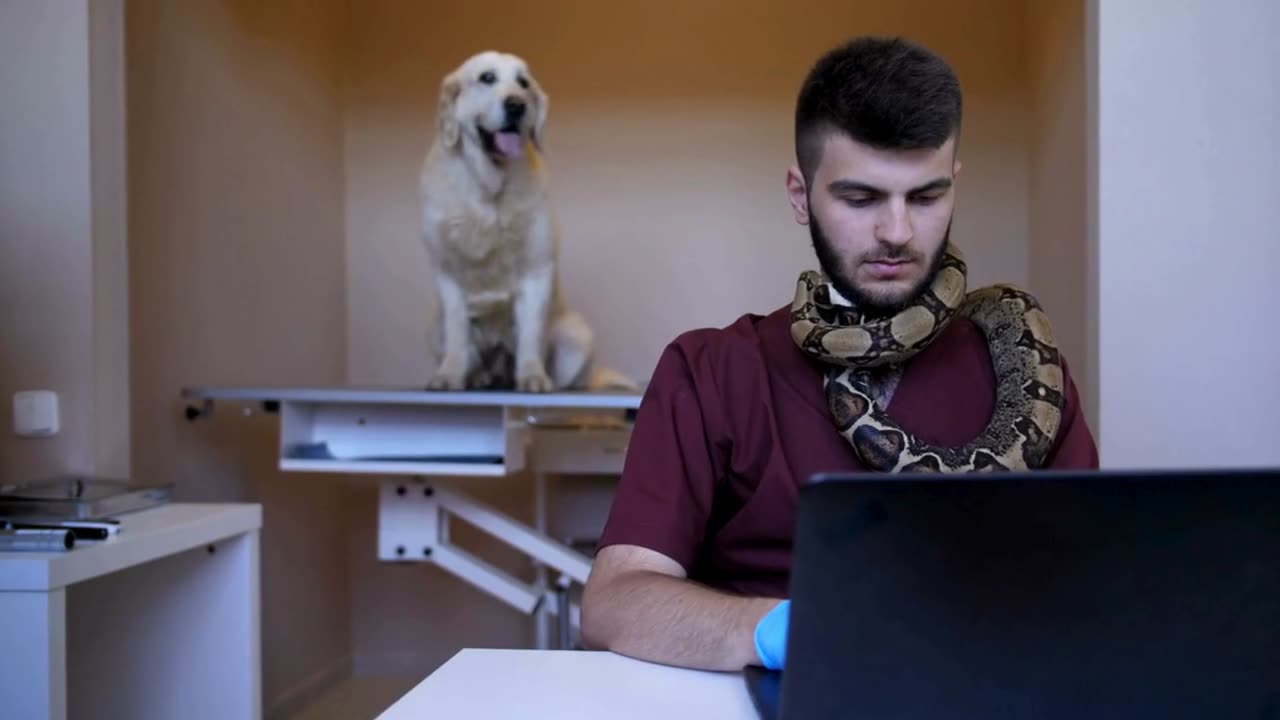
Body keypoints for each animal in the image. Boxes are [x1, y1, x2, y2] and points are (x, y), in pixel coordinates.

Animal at [422, 51, 637, 392]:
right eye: (486, 77)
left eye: (523, 83)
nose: (517, 105)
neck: (490, 191)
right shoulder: (448, 274)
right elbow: (458, 335)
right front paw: (449, 375)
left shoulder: (538, 270)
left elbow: (530, 334)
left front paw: (532, 375)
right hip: (434, 325)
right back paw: (479, 376)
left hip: (577, 337)